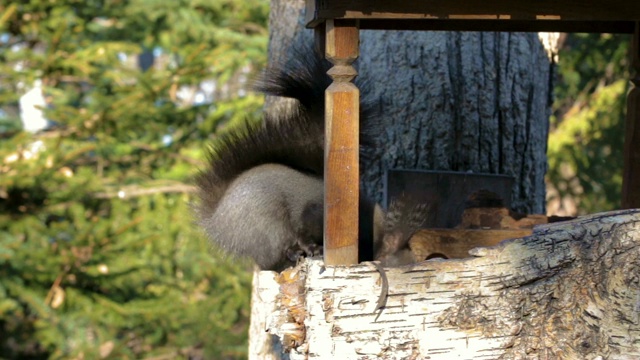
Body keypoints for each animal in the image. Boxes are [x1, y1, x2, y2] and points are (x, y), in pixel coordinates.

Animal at [195, 49, 424, 272]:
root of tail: (215, 220)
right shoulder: (315, 213)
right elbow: (305, 231)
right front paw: (312, 247)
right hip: (266, 226)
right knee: (273, 258)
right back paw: (293, 255)